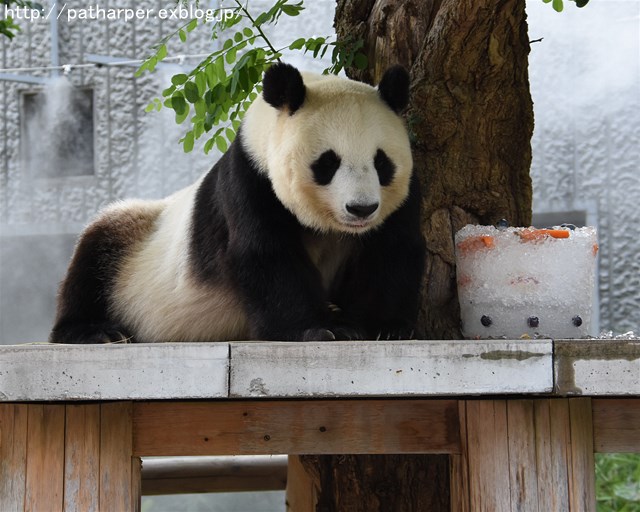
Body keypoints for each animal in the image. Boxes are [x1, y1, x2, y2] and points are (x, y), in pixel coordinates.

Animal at [50, 63, 428, 344]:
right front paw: (324, 328)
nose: (361, 209)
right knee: (95, 252)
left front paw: (385, 326)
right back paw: (96, 331)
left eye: (381, 163)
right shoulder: (250, 180)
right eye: (327, 163)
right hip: (134, 242)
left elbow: (393, 249)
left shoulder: (403, 199)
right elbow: (265, 253)